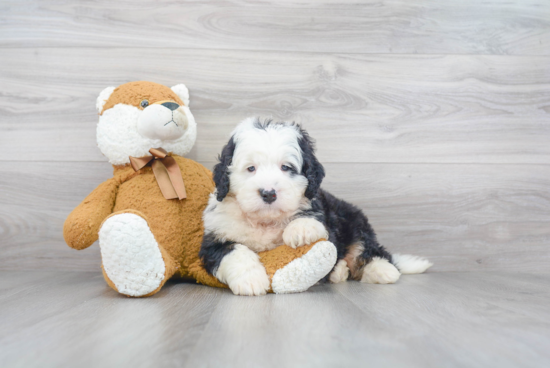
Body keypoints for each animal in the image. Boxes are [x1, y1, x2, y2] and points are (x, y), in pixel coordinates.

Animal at [201, 118, 434, 296]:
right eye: (251, 168)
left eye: (286, 167)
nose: (268, 193)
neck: (266, 221)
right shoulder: (214, 238)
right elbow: (234, 252)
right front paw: (251, 280)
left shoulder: (323, 212)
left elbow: (312, 217)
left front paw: (301, 229)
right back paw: (340, 272)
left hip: (355, 223)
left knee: (368, 251)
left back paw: (382, 270)